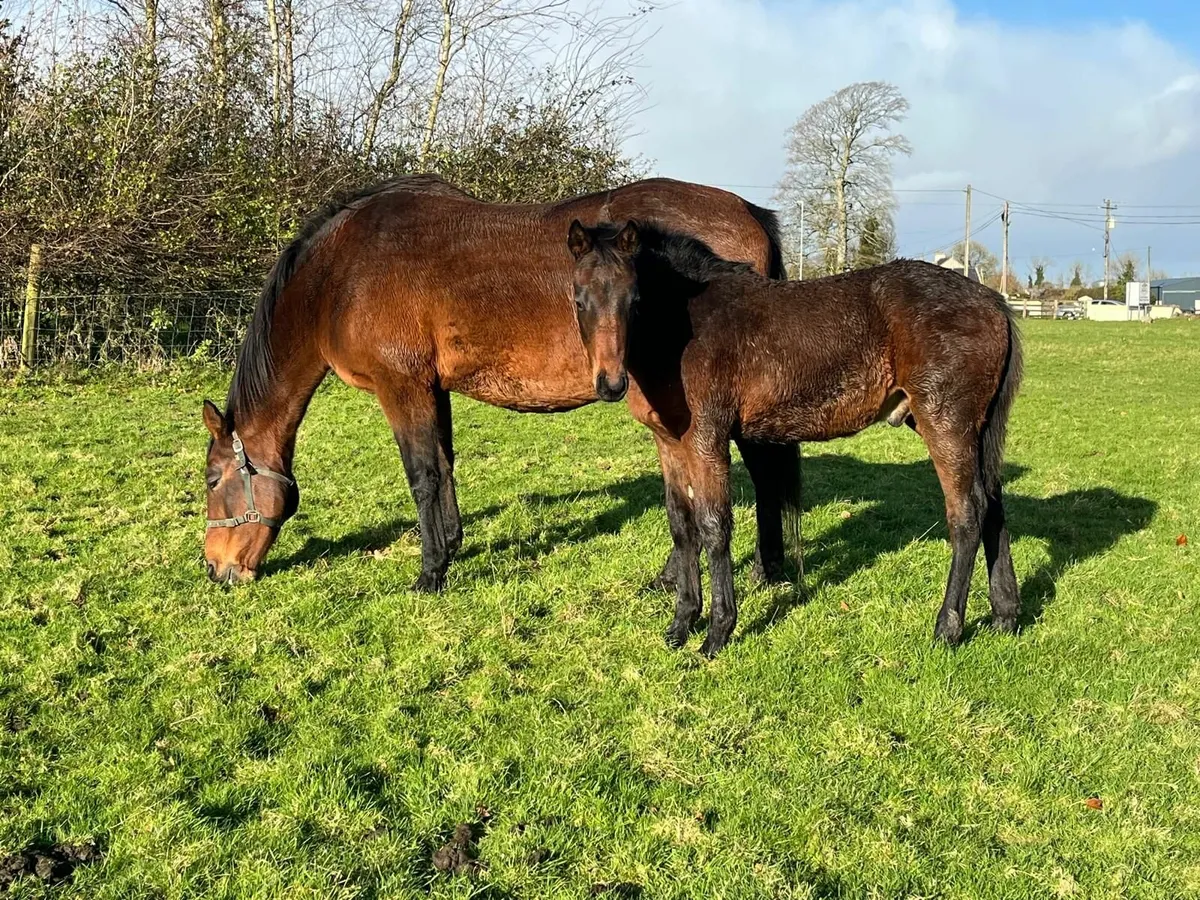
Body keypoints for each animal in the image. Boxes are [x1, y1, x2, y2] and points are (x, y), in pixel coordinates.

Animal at [201, 175, 802, 590]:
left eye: (211, 481)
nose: (215, 568)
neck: (340, 275)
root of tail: (748, 211)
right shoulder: (433, 387)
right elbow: (444, 466)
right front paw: (451, 545)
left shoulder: (401, 386)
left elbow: (421, 476)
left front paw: (430, 573)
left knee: (762, 472)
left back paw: (758, 570)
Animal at [567, 219, 1022, 657]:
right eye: (579, 300)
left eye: (635, 300)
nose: (610, 384)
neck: (686, 329)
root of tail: (995, 302)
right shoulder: (669, 444)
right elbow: (682, 526)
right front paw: (681, 624)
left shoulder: (707, 438)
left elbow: (714, 527)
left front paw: (717, 633)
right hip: (971, 430)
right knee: (993, 504)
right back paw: (1005, 616)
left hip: (945, 422)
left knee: (967, 514)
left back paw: (947, 629)